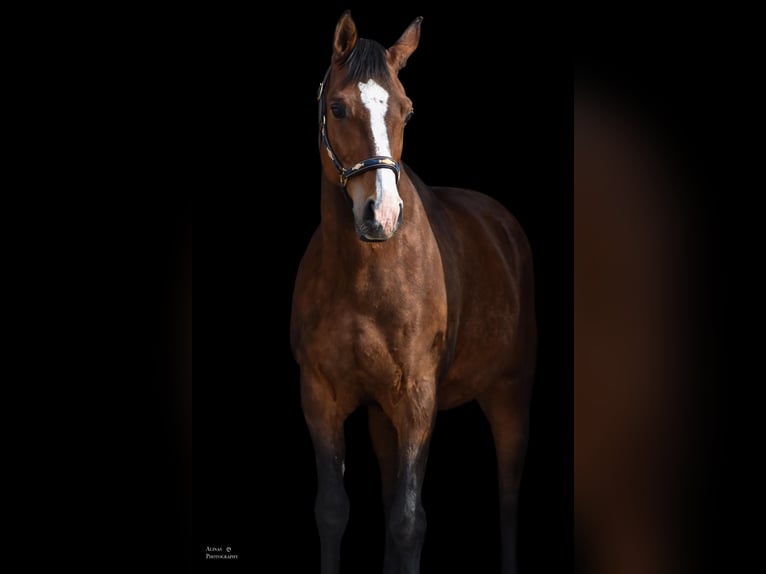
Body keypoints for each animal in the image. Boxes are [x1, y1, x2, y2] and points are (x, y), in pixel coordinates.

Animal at [290, 11, 536, 574]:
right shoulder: (320, 395)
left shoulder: (418, 399)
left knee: (509, 496)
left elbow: (409, 521)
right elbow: (334, 511)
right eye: (338, 107)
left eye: (407, 110)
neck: (364, 276)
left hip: (510, 394)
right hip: (385, 416)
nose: (381, 214)